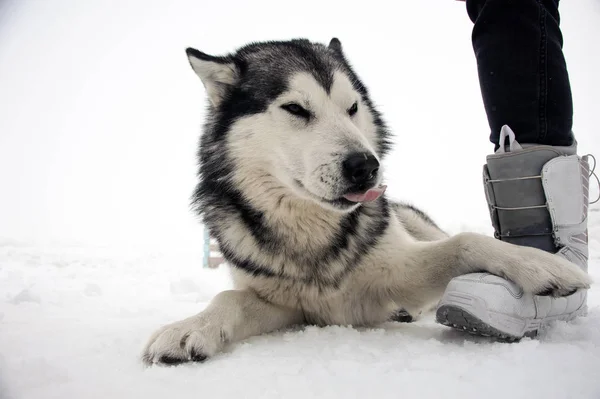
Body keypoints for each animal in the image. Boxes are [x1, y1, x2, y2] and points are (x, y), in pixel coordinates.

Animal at [142, 38, 592, 366]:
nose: (365, 166)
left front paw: (542, 265)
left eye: (352, 107)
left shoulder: (398, 270)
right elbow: (229, 297)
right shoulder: (285, 304)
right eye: (295, 108)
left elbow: (466, 242)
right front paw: (191, 327)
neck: (312, 232)